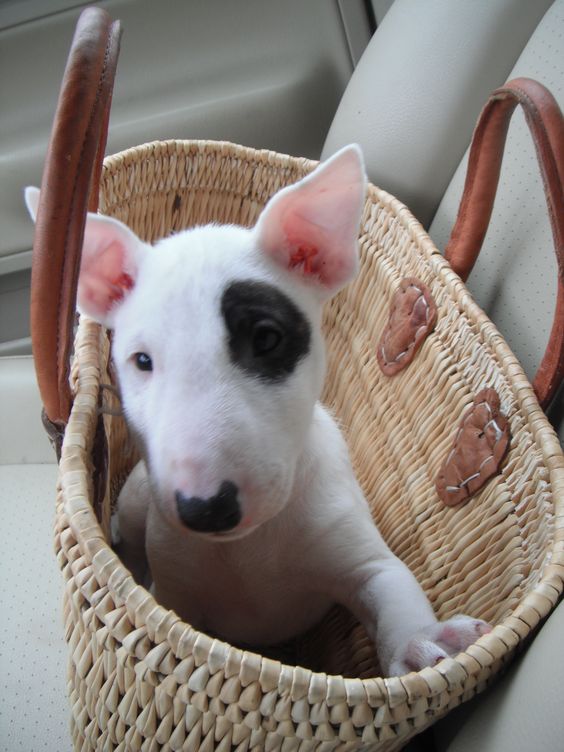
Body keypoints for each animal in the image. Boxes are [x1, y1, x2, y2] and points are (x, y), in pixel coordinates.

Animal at [25, 144, 490, 672]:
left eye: (267, 338)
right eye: (141, 360)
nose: (206, 510)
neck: (246, 548)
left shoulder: (360, 554)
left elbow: (389, 584)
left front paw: (421, 645)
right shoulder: (174, 592)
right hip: (141, 497)